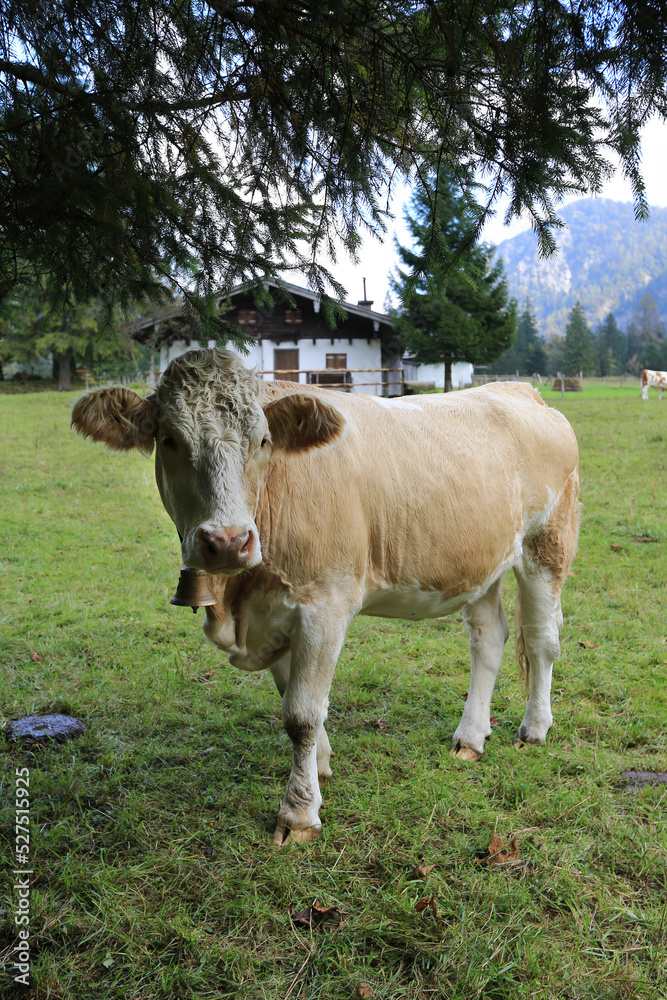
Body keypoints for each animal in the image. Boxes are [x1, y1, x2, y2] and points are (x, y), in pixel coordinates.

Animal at [72, 348, 580, 844]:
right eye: (170, 440)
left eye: (262, 440)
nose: (228, 541)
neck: (238, 600)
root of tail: (518, 390)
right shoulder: (271, 614)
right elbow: (292, 698)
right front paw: (319, 765)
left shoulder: (325, 606)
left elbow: (300, 714)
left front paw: (298, 814)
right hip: (481, 562)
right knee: (489, 638)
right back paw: (470, 737)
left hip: (547, 546)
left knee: (541, 641)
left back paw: (534, 729)